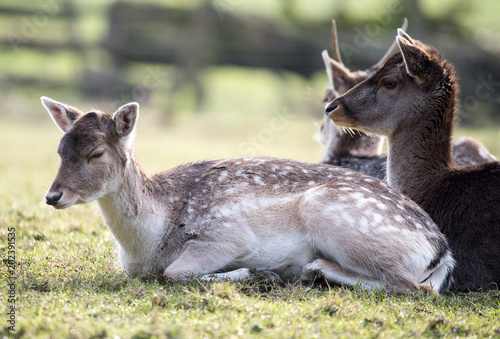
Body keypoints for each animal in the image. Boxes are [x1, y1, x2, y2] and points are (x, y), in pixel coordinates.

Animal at [42, 96, 454, 294]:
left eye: (96, 153)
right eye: (59, 149)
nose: (52, 196)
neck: (149, 241)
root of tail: (441, 252)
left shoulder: (228, 234)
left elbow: (176, 272)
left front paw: (256, 273)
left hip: (331, 213)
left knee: (414, 287)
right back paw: (311, 272)